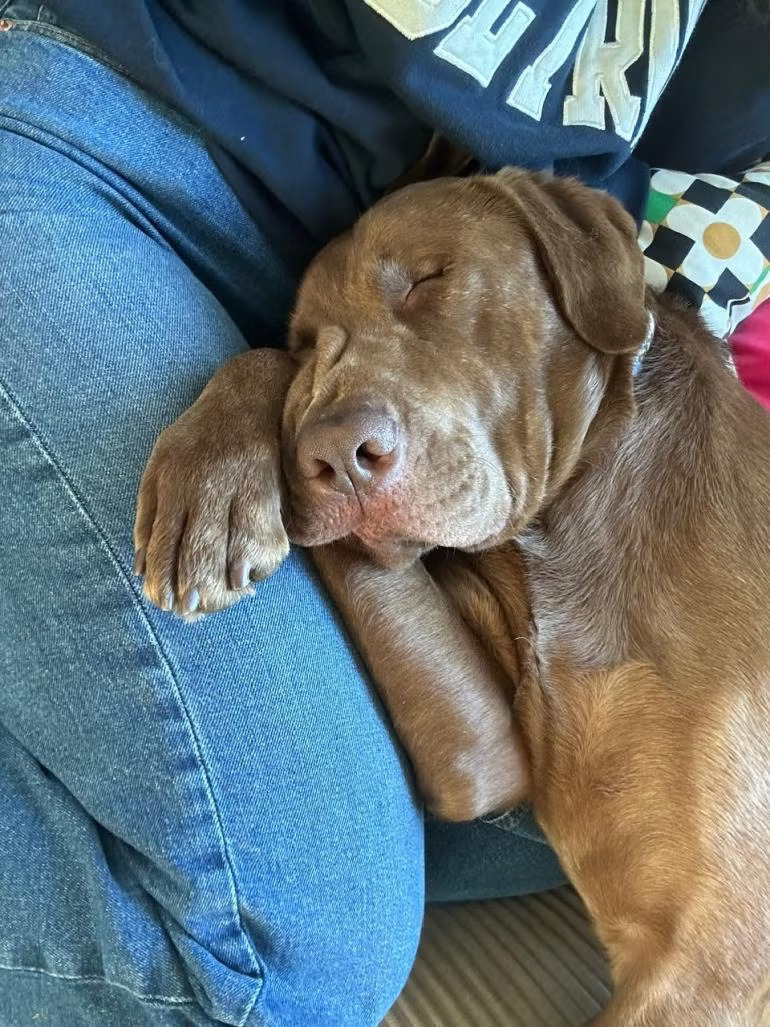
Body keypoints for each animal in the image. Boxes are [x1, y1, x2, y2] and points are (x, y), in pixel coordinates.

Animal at [135, 168, 770, 1018]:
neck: (571, 511)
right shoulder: (484, 756)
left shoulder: (712, 959)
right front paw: (212, 476)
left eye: (428, 280)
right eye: (306, 338)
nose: (335, 455)